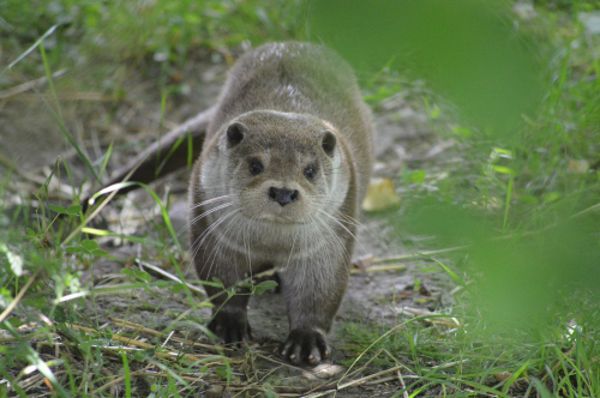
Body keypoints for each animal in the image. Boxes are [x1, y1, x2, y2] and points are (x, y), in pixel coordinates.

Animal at [190, 42, 372, 366]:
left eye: (309, 170)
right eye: (255, 165)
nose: (283, 193)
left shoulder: (327, 243)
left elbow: (318, 290)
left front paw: (306, 340)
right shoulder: (214, 229)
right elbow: (222, 280)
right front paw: (228, 324)